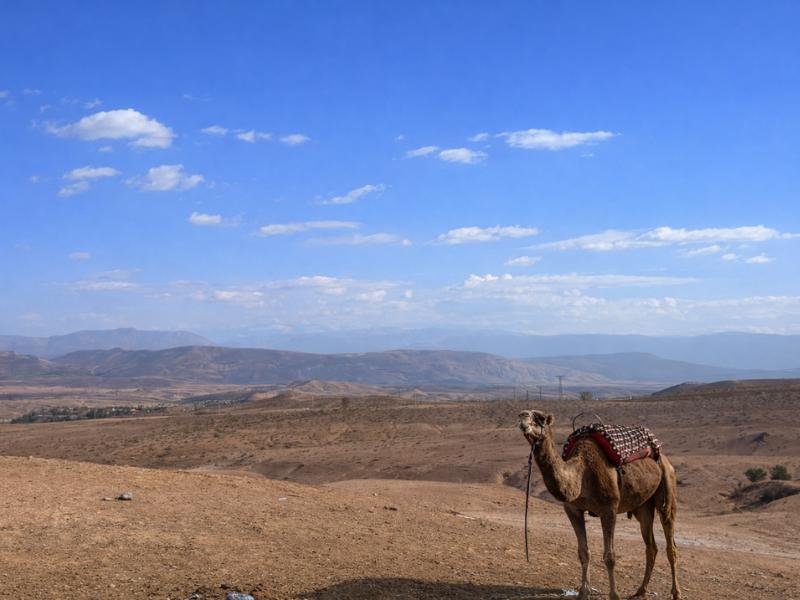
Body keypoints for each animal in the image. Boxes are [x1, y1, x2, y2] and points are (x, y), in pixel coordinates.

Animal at [518, 410, 682, 600]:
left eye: (540, 418)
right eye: (522, 415)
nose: (523, 418)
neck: (581, 475)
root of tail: (664, 458)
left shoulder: (609, 509)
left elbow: (610, 557)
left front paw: (614, 595)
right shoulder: (572, 509)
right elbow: (583, 552)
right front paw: (583, 592)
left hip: (667, 486)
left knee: (670, 543)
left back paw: (676, 593)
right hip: (643, 506)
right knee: (651, 547)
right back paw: (640, 590)